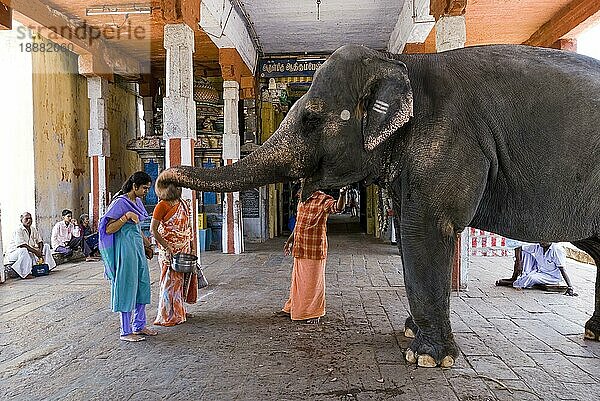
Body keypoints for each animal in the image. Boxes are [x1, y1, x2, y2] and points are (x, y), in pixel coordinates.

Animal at [158, 43, 600, 366]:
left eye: (312, 119)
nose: (164, 188)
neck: (399, 64)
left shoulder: (447, 144)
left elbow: (425, 229)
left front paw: (427, 359)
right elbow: (406, 229)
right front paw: (411, 333)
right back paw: (594, 332)